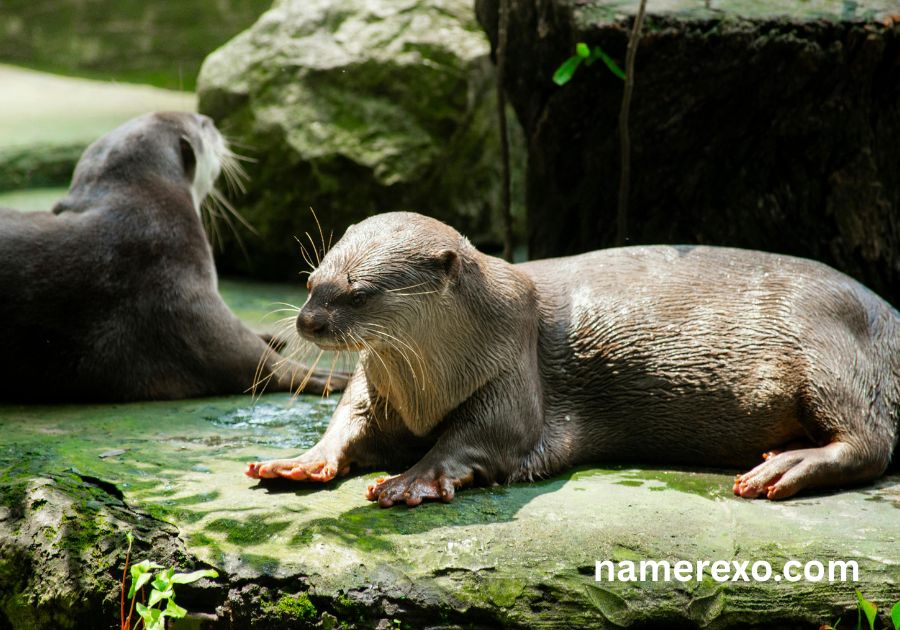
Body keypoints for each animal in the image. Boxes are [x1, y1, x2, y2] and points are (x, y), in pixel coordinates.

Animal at [0, 112, 345, 402]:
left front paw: (269, 335)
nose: (212, 120)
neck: (146, 204)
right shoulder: (177, 283)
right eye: (202, 125)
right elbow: (248, 356)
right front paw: (320, 376)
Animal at [246, 212, 899, 505]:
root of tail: (889, 315)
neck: (427, 387)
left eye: (358, 293)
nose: (307, 322)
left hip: (827, 350)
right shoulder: (377, 387)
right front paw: (302, 460)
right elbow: (349, 422)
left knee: (870, 442)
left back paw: (780, 468)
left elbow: (484, 435)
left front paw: (413, 479)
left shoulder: (512, 365)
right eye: (312, 281)